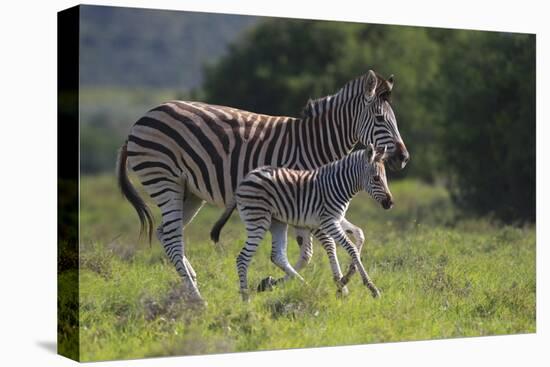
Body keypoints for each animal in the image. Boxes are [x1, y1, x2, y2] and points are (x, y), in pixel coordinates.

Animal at [212, 144, 396, 302]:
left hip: (277, 222)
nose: (390, 203)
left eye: (385, 178)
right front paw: (371, 288)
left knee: (278, 256)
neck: (339, 185)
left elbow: (359, 234)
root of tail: (245, 178)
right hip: (258, 220)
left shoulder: (336, 218)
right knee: (243, 258)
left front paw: (346, 277)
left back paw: (304, 288)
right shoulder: (328, 221)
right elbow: (351, 248)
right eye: (376, 178)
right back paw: (246, 299)